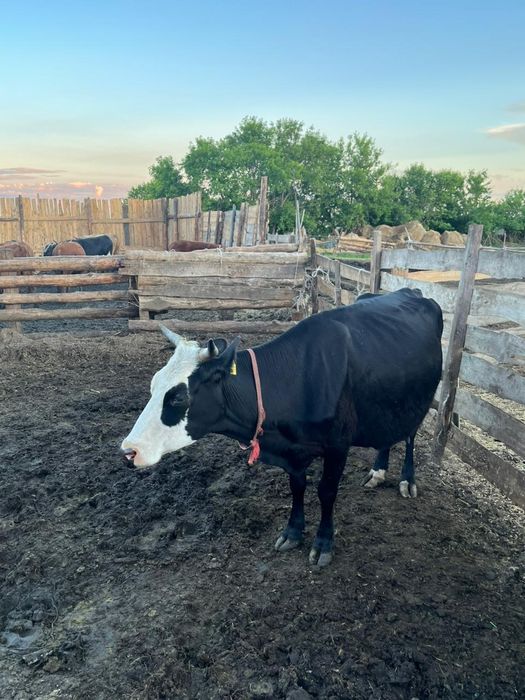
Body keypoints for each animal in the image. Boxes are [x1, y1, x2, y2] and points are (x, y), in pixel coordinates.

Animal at [121, 288, 443, 567]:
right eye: (153, 385)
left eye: (178, 396)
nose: (128, 451)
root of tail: (412, 291)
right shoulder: (294, 452)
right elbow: (297, 487)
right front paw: (293, 532)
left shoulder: (338, 445)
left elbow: (326, 491)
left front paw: (323, 544)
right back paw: (378, 471)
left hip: (421, 398)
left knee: (410, 436)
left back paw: (407, 480)